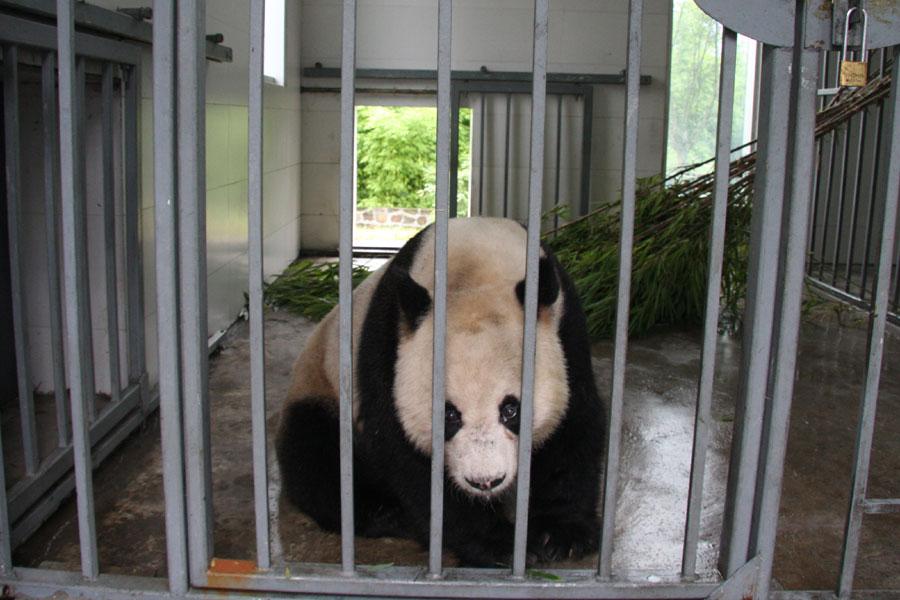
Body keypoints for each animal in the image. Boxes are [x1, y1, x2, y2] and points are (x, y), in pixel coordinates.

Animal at [276, 217, 604, 568]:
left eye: (511, 409)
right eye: (449, 414)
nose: (485, 481)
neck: (474, 270)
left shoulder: (565, 332)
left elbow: (574, 424)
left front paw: (560, 534)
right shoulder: (388, 345)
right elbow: (404, 455)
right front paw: (500, 545)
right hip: (321, 383)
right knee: (314, 453)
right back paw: (385, 513)